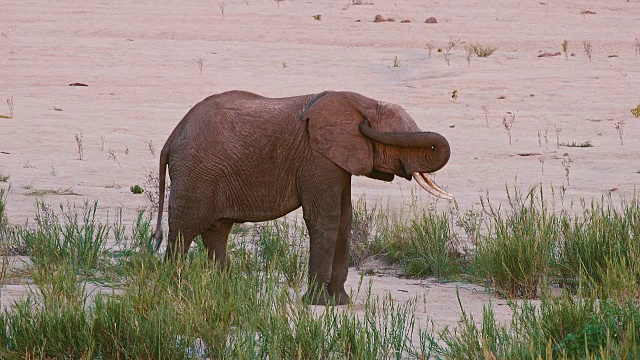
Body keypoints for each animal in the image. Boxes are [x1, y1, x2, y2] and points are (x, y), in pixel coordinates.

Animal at [152, 91, 452, 306]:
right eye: (401, 140)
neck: (362, 101)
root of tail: (173, 135)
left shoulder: (336, 161)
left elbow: (344, 219)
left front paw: (340, 303)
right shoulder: (317, 157)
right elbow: (326, 218)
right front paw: (319, 304)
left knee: (216, 231)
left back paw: (226, 288)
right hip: (196, 172)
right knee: (185, 230)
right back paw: (175, 287)